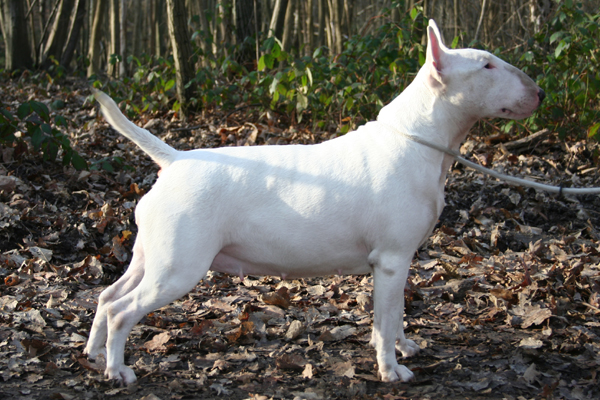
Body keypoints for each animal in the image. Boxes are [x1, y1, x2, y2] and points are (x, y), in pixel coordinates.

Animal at [85, 20, 544, 384]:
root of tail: (175, 159)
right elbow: (384, 320)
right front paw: (391, 369)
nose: (540, 93)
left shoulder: (401, 262)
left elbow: (395, 314)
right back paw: (118, 370)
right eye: (486, 65)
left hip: (151, 254)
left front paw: (405, 346)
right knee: (122, 310)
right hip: (179, 266)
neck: (419, 140)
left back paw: (93, 353)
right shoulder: (392, 259)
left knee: (108, 296)